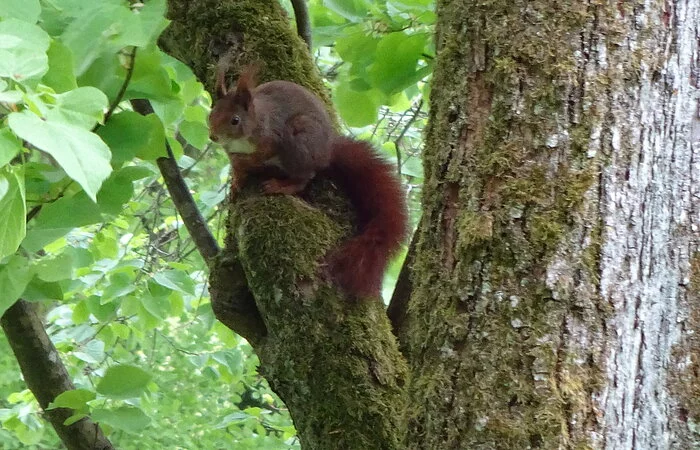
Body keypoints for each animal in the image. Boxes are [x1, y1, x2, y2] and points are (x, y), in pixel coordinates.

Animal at [208, 65, 408, 298]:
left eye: (235, 120)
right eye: (212, 112)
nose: (213, 137)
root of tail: (327, 152)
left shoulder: (273, 137)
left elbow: (259, 156)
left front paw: (251, 165)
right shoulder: (232, 152)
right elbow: (238, 167)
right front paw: (235, 183)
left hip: (298, 143)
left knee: (305, 177)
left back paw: (281, 185)